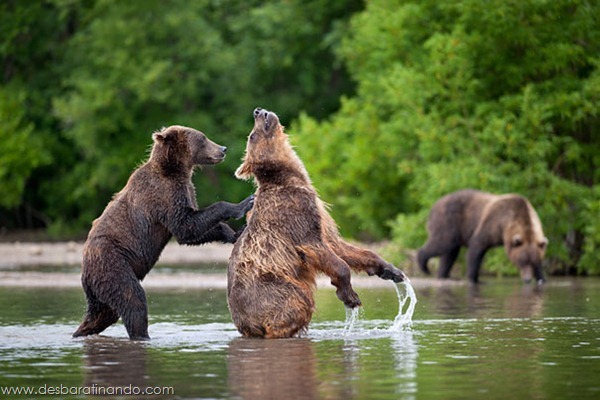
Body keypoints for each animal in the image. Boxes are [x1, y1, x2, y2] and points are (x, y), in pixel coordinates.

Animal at [74, 126, 254, 340]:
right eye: (202, 138)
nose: (223, 149)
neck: (175, 170)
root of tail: (85, 270)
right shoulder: (164, 196)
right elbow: (187, 225)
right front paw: (244, 203)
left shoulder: (185, 191)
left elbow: (192, 232)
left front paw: (234, 233)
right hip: (113, 263)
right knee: (132, 298)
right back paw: (142, 336)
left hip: (101, 287)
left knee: (102, 313)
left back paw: (81, 332)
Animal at [226, 107, 408, 338]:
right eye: (252, 136)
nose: (258, 111)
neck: (292, 177)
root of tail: (246, 325)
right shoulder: (295, 215)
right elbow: (323, 252)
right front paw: (350, 297)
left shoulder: (321, 216)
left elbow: (340, 245)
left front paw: (391, 270)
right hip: (274, 288)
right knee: (298, 300)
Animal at [418, 189, 548, 282]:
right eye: (522, 261)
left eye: (533, 262)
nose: (527, 279)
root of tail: (434, 206)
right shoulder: (492, 224)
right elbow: (476, 248)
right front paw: (474, 278)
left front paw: (541, 278)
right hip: (448, 221)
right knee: (443, 243)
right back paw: (424, 265)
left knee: (450, 252)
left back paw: (444, 275)